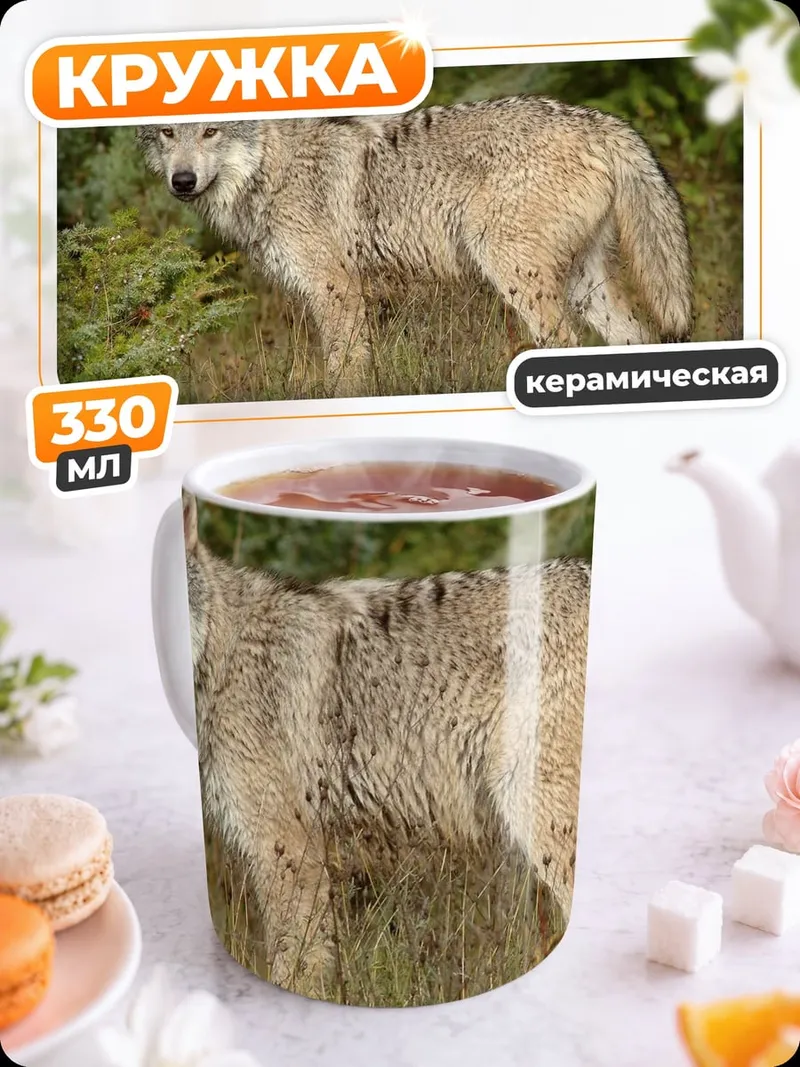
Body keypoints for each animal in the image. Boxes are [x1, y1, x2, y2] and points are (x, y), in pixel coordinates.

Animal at [137, 95, 694, 393]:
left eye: (211, 132)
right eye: (167, 133)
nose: (182, 181)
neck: (269, 166)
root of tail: (600, 121)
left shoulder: (336, 291)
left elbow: (345, 377)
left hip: (520, 278)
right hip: (583, 287)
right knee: (636, 338)